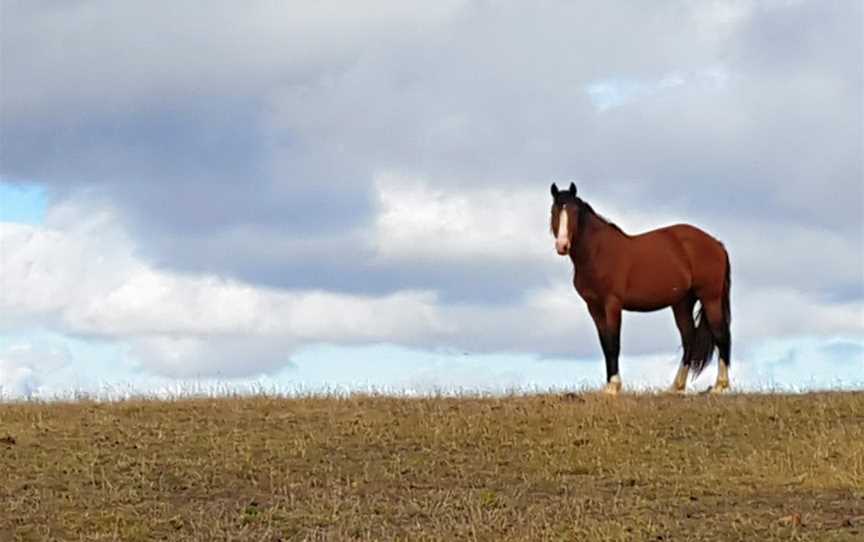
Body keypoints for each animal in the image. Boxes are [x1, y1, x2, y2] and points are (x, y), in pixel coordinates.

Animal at [552, 183, 728, 396]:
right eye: (554, 210)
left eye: (575, 212)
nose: (562, 245)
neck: (598, 252)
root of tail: (716, 243)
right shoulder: (594, 307)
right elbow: (605, 344)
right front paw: (609, 386)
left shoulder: (612, 304)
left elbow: (614, 343)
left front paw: (614, 387)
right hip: (682, 302)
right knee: (689, 338)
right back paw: (676, 387)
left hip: (710, 297)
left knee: (721, 334)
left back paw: (719, 386)